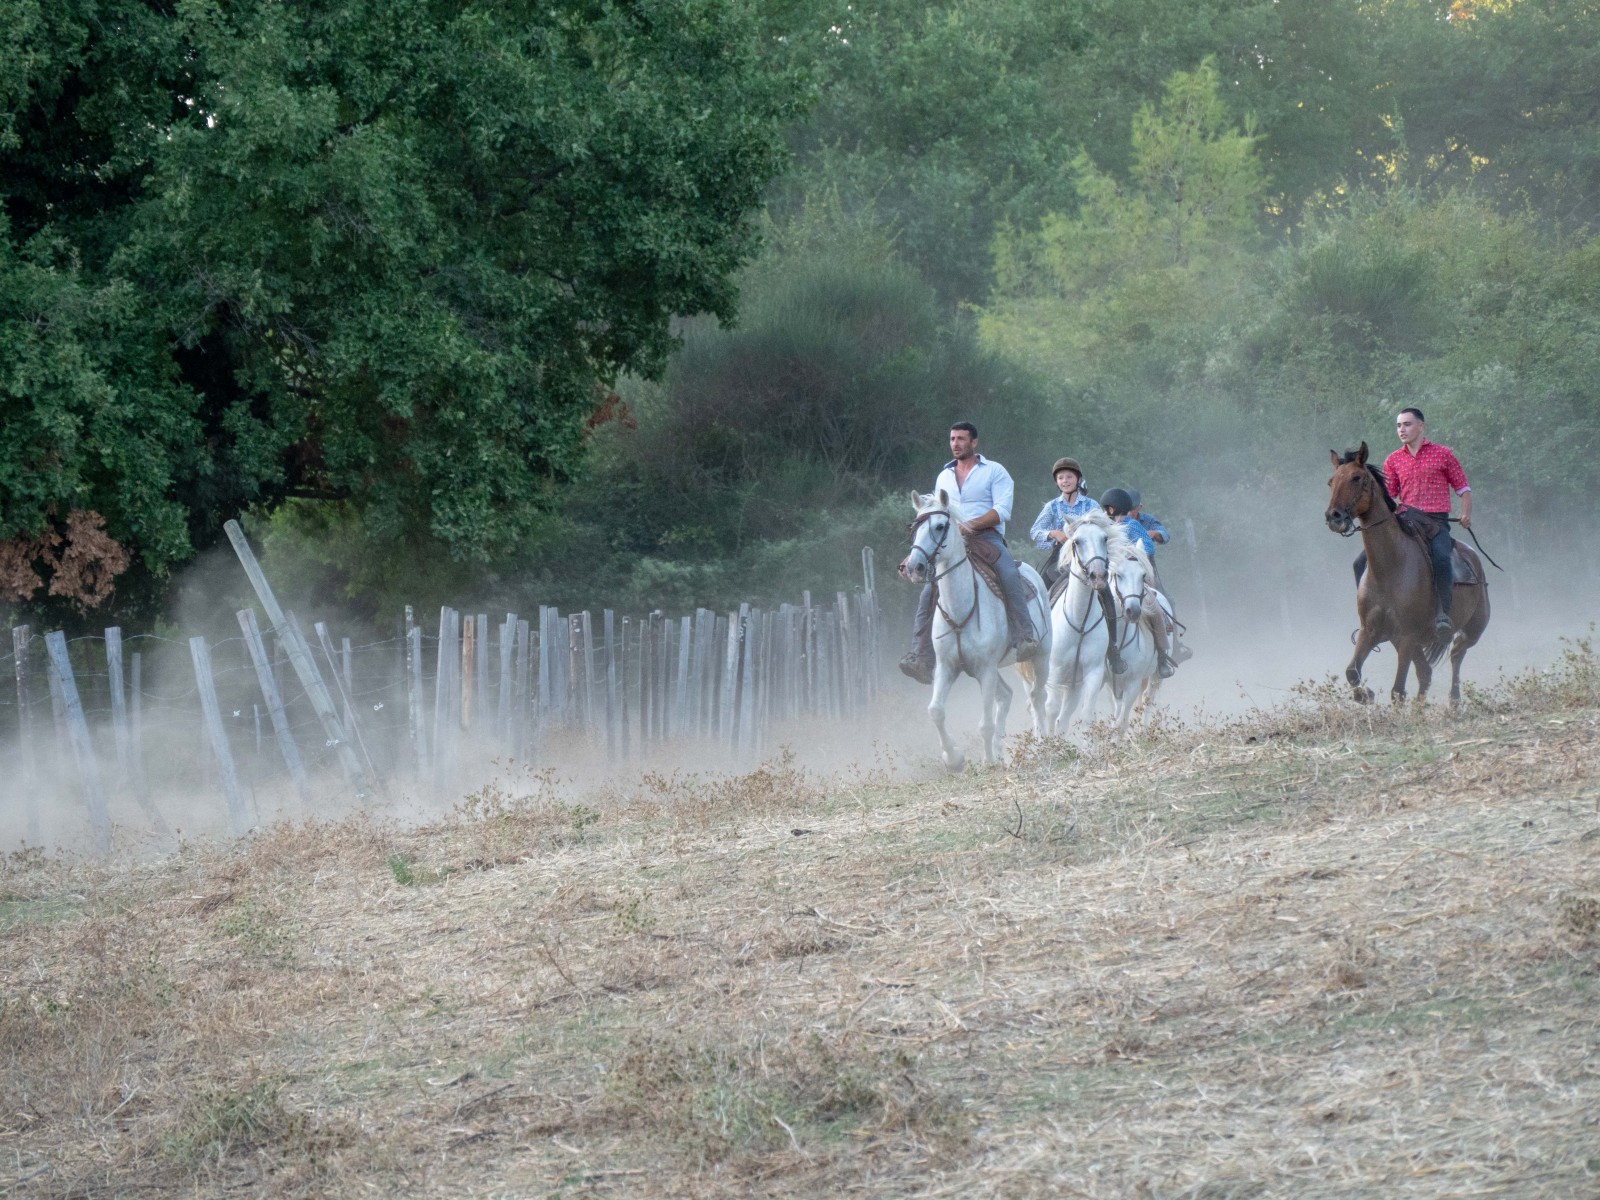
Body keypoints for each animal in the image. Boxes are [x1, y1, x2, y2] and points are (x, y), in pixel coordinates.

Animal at [902, 492, 1049, 774]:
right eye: (914, 528)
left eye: (940, 526)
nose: (913, 566)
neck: (960, 610)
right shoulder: (947, 667)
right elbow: (936, 711)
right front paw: (954, 759)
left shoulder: (986, 669)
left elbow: (985, 723)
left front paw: (988, 760)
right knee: (1007, 696)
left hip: (1040, 656)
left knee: (1038, 698)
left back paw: (1046, 743)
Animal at [1036, 508, 1113, 739]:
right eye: (1077, 541)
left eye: (1104, 538)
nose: (1098, 575)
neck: (1079, 623)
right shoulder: (1053, 673)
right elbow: (1050, 710)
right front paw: (1048, 744)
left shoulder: (1092, 673)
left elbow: (1086, 714)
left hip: (1073, 685)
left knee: (1064, 717)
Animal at [1324, 441, 1484, 704]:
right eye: (1331, 481)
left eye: (1356, 478)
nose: (1333, 517)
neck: (1389, 569)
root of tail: (1472, 555)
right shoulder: (1371, 632)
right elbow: (1352, 672)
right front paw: (1366, 694)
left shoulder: (1407, 636)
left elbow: (1398, 690)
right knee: (1427, 672)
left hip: (1473, 629)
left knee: (1457, 654)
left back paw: (1454, 701)